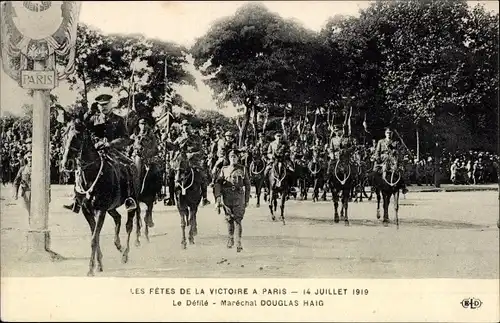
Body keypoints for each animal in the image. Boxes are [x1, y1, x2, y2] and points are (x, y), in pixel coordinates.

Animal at [62, 120, 141, 278]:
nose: (66, 163)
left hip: (130, 203)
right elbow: (96, 236)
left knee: (129, 225)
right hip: (111, 208)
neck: (90, 175)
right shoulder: (87, 211)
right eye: (65, 135)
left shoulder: (100, 211)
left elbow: (94, 238)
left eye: (77, 136)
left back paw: (125, 254)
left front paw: (90, 269)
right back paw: (117, 244)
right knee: (118, 218)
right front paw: (99, 264)